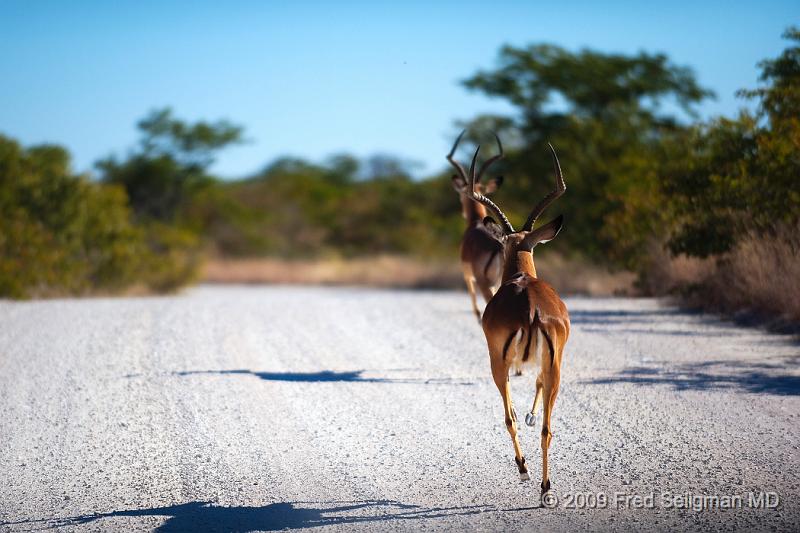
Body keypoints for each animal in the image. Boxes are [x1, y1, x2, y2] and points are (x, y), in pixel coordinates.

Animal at [462, 137, 568, 494]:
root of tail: (531, 310)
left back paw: (524, 469)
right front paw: (532, 415)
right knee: (547, 428)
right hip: (554, 366)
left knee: (509, 417)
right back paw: (545, 487)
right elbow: (536, 389)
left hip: (499, 362)